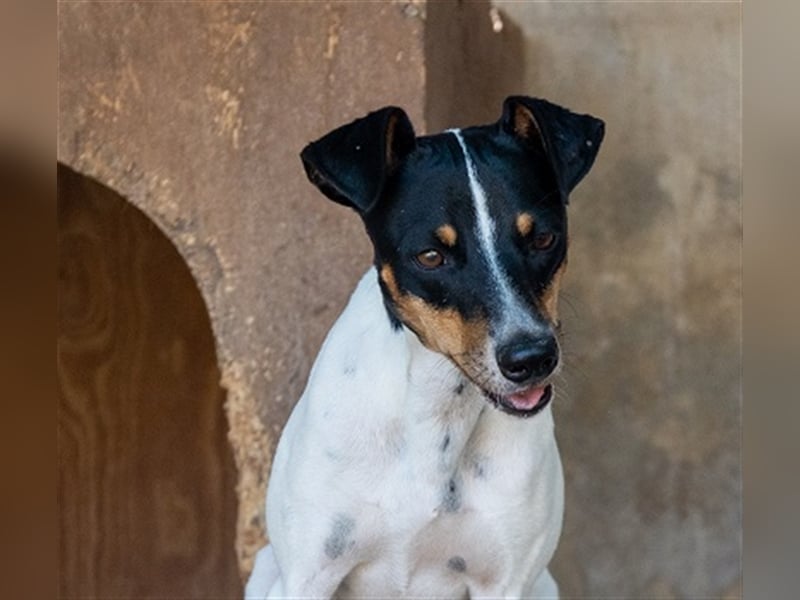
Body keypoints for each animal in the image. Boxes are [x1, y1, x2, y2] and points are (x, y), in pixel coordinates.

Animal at [247, 96, 604, 596]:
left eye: (543, 239)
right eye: (431, 257)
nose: (532, 359)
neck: (439, 416)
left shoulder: (507, 582)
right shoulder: (308, 576)